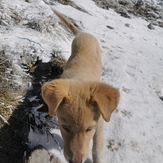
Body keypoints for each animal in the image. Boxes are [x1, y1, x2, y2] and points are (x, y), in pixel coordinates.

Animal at [41, 6, 119, 163]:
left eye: (89, 129)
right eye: (65, 127)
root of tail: (83, 33)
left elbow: (97, 148)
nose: (75, 161)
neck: (80, 82)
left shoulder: (100, 123)